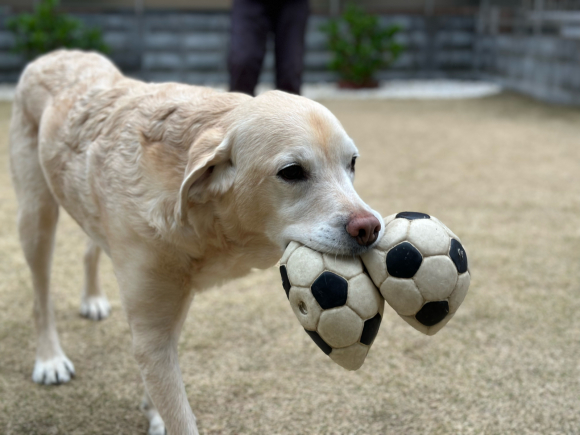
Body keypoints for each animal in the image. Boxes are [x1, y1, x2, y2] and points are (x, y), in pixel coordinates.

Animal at [10, 49, 386, 434]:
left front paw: (154, 410)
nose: (370, 228)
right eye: (292, 172)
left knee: (91, 246)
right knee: (40, 296)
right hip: (36, 217)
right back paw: (50, 359)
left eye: (352, 163)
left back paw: (93, 299)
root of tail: (55, 54)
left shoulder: (174, 301)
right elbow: (177, 408)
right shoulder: (152, 328)